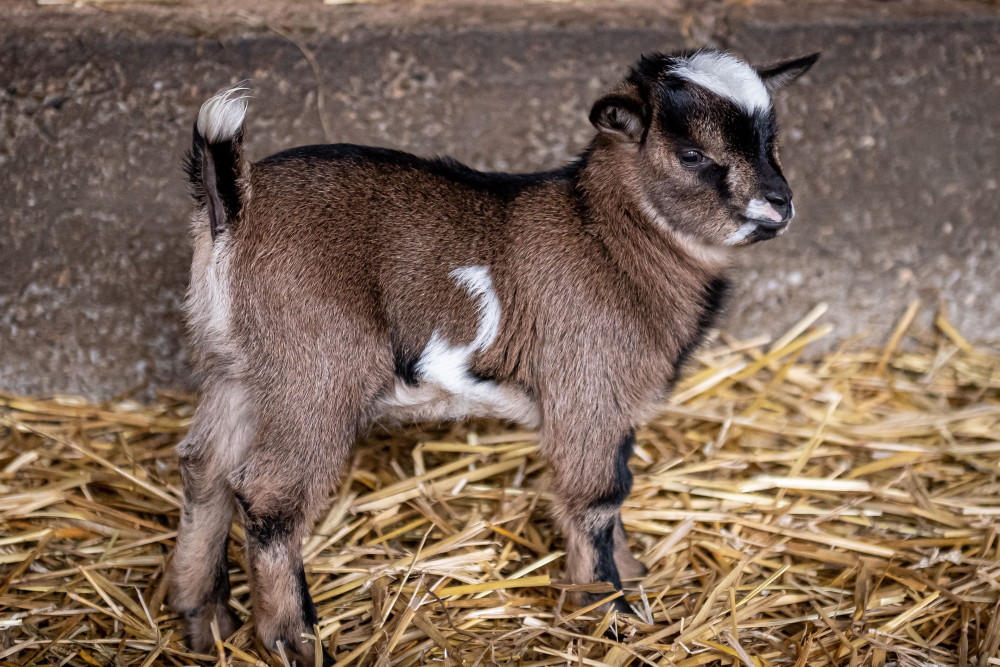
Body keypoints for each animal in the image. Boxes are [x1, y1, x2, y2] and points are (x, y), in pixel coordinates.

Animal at [176, 49, 820, 660]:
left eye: (772, 142)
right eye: (691, 154)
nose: (779, 203)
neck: (607, 235)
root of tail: (235, 205)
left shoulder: (613, 407)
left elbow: (614, 496)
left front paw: (632, 578)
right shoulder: (587, 386)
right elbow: (596, 497)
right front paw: (609, 613)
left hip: (240, 367)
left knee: (204, 468)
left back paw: (205, 623)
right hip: (316, 370)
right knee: (268, 495)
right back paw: (295, 641)